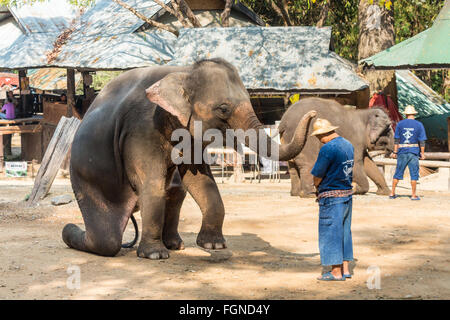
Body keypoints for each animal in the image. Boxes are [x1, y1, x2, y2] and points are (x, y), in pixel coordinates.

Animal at [62, 58, 316, 260]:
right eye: (223, 108)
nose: (313, 114)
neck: (183, 71)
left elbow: (201, 180)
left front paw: (214, 245)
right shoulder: (141, 129)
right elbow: (152, 184)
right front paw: (154, 256)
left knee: (176, 191)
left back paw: (175, 245)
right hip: (86, 180)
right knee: (106, 240)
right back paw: (70, 231)